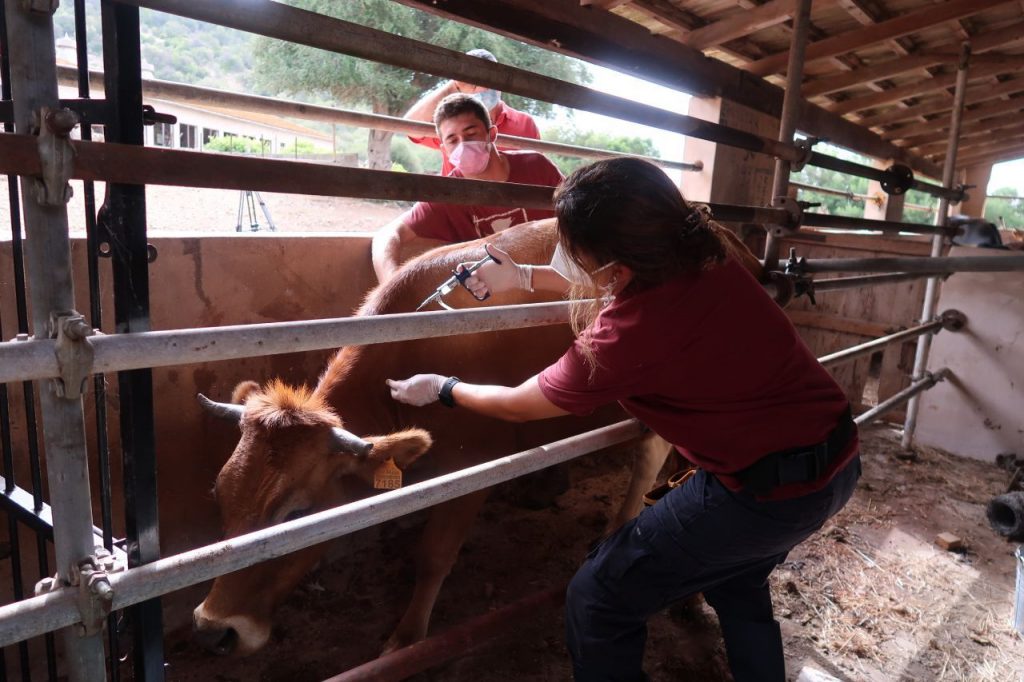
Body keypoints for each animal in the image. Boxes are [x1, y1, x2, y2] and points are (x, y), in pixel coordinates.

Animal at [195, 218, 765, 655]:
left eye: (295, 514)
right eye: (219, 496)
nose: (214, 629)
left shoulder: (476, 464)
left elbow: (433, 557)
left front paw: (406, 640)